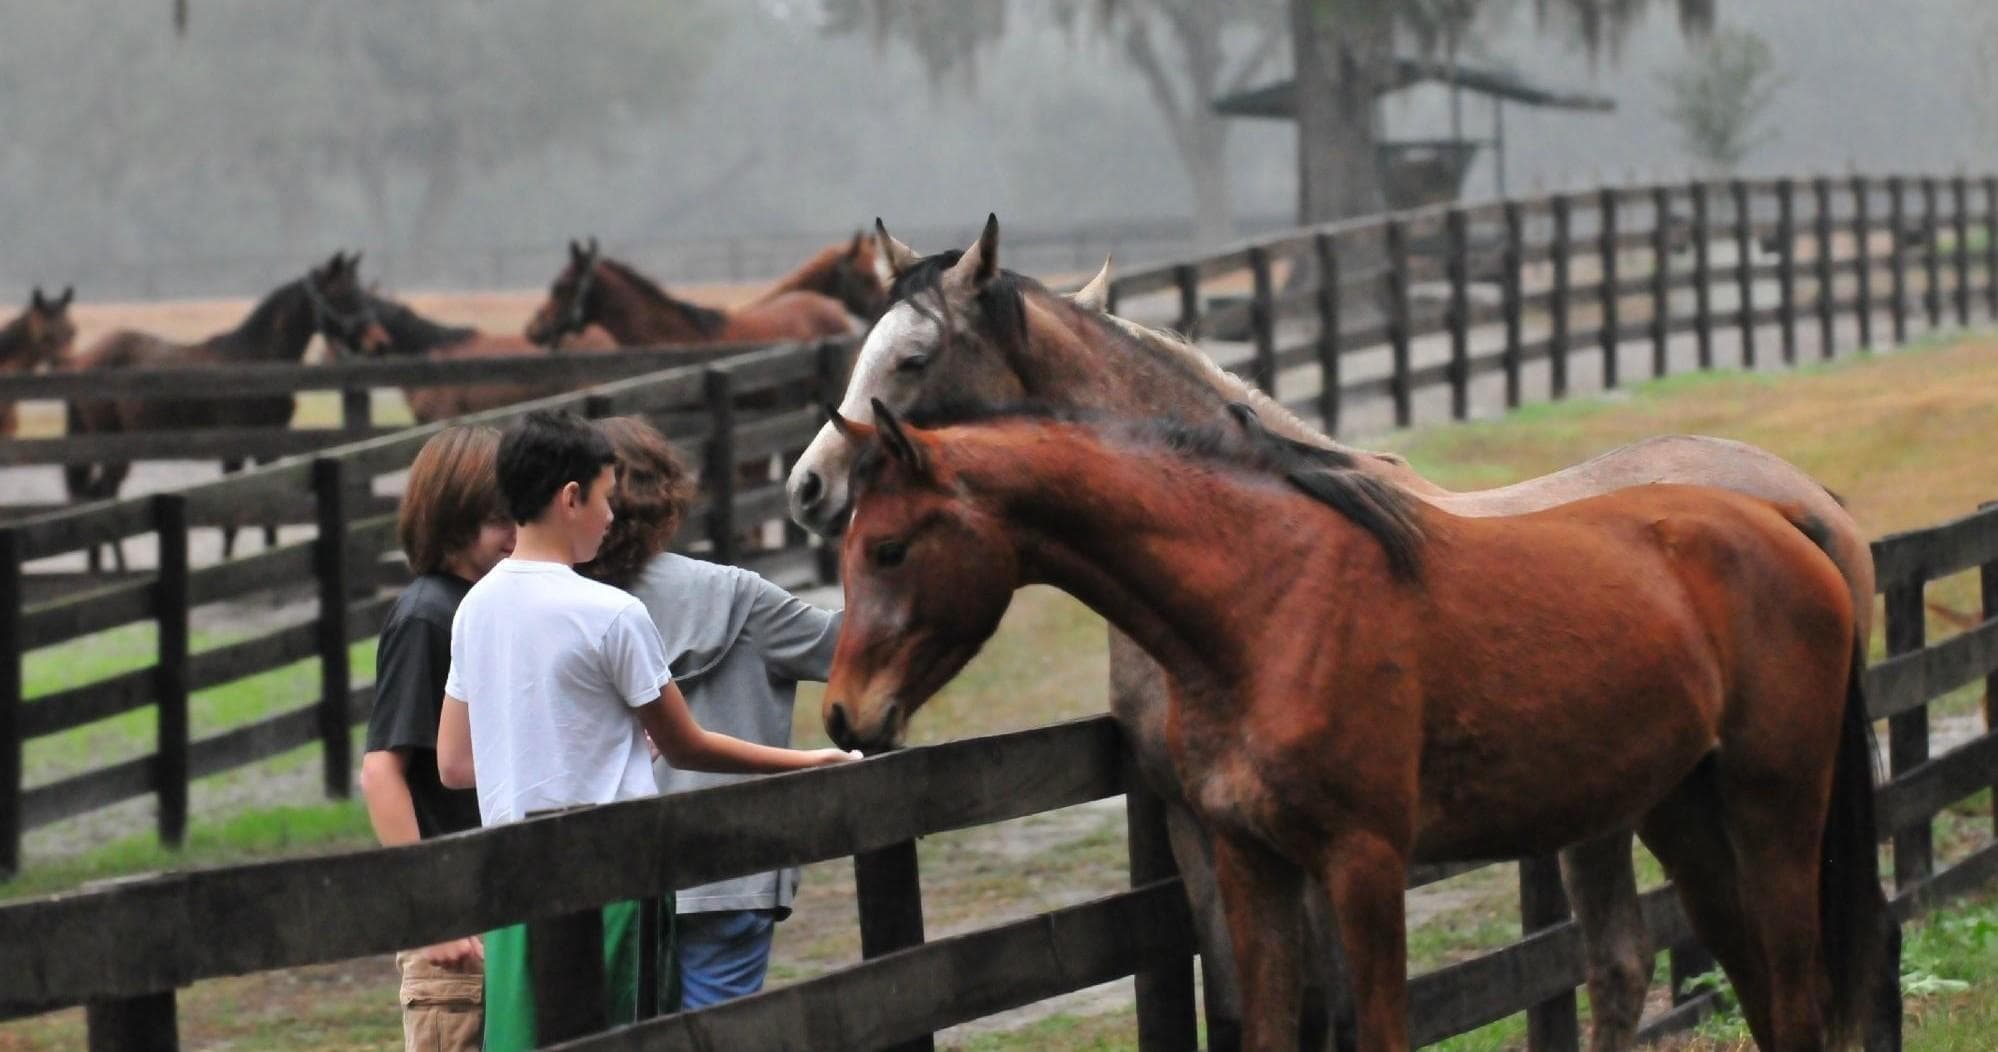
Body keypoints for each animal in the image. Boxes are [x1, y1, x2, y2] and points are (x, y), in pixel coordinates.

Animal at [64, 251, 385, 567]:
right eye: (343, 293)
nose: (378, 341)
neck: (255, 361)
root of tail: (83, 360)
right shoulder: (234, 449)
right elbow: (231, 516)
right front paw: (227, 562)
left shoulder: (268, 447)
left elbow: (269, 510)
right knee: (103, 497)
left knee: (98, 497)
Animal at [785, 216, 1887, 1051]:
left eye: (913, 355)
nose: (807, 488)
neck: (1254, 589)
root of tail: (1804, 509)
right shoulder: (1210, 832)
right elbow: (1248, 1009)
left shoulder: (1348, 855)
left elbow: (1345, 1014)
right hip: (1661, 804)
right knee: (1660, 965)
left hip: (1757, 803)